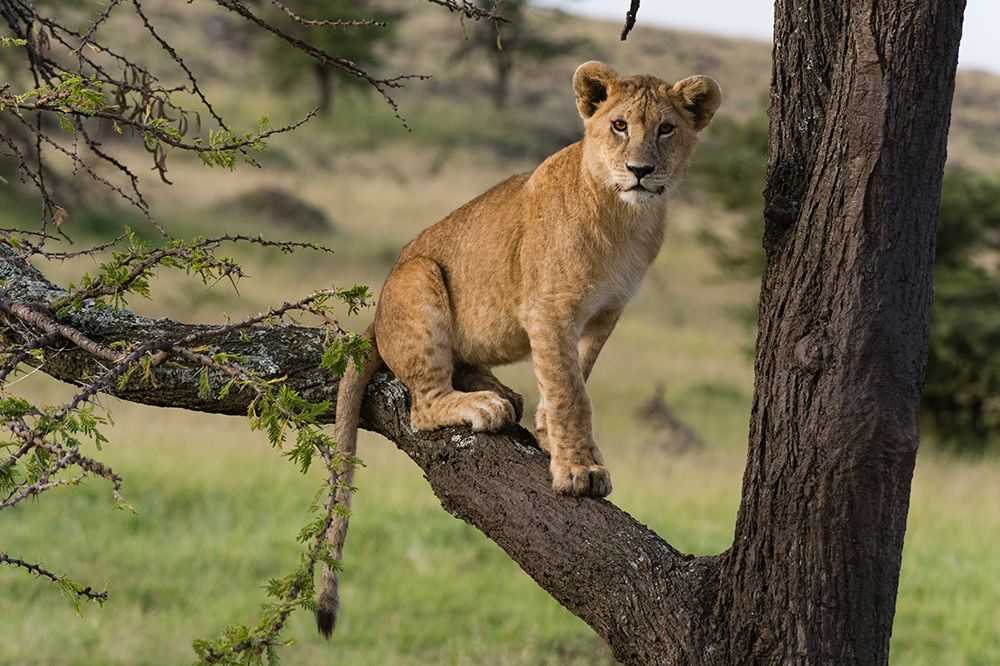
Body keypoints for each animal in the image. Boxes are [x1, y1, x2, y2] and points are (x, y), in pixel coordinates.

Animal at [315, 61, 722, 636]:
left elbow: (574, 374)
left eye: (666, 129)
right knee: (423, 404)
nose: (641, 170)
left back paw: (502, 393)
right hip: (419, 274)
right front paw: (579, 471)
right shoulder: (548, 309)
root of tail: (373, 322)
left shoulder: (605, 312)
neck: (626, 217)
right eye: (619, 126)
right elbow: (571, 388)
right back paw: (482, 405)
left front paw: (551, 434)